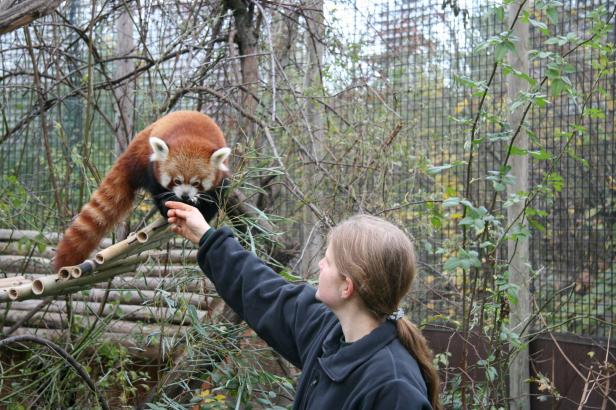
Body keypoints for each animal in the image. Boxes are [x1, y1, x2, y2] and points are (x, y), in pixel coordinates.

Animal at [52, 110, 231, 270]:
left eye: (196, 183)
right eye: (177, 181)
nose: (185, 196)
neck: (192, 138)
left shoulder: (221, 177)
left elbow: (216, 196)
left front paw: (204, 213)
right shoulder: (154, 169)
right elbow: (158, 190)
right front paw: (168, 207)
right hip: (144, 159)